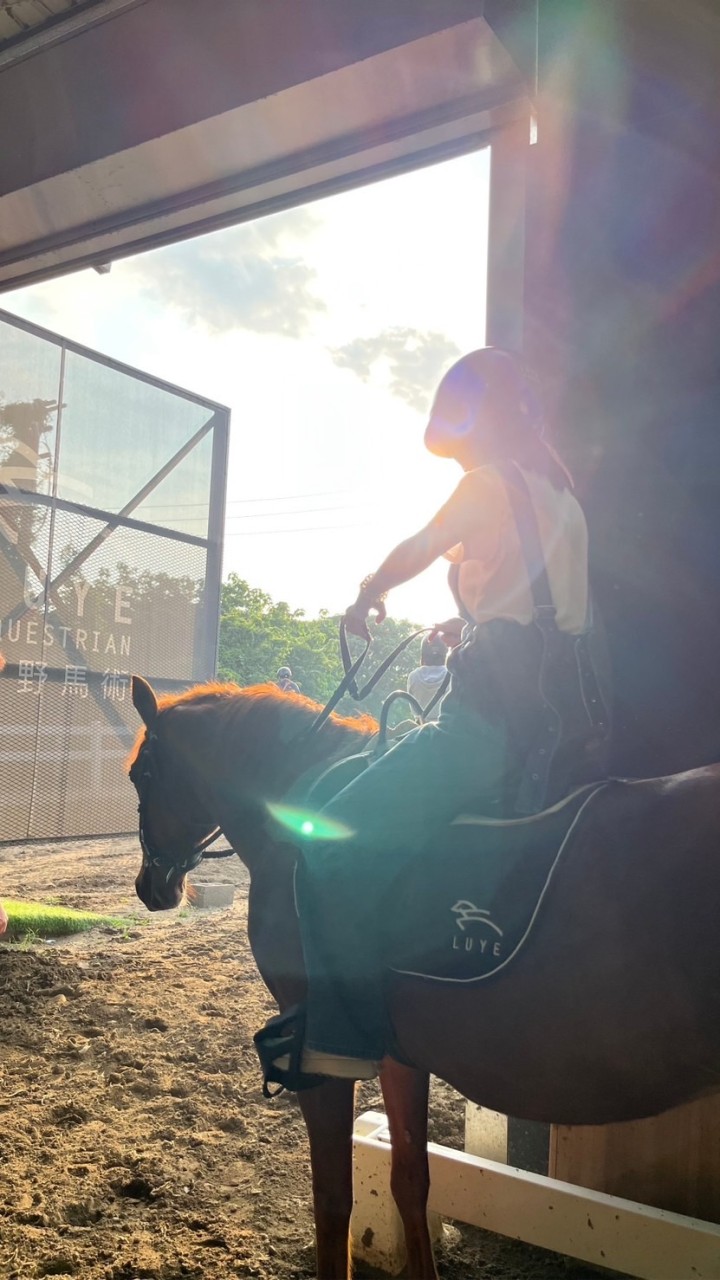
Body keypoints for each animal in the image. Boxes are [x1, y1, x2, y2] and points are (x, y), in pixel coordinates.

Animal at [128, 673, 720, 1280]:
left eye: (140, 775)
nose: (151, 887)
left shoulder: (318, 1058)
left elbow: (333, 1200)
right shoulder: (396, 1052)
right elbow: (410, 1180)